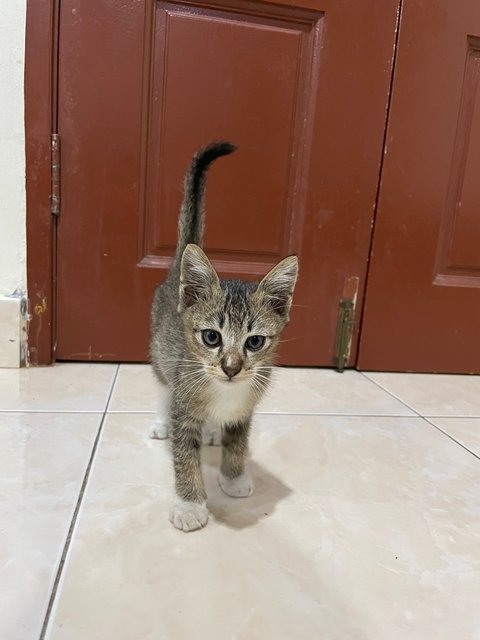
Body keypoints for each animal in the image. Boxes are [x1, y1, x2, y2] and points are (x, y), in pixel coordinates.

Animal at [152, 142, 298, 532]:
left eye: (255, 342)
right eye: (211, 337)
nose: (232, 368)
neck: (224, 393)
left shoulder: (246, 408)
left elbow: (238, 441)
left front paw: (233, 476)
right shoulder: (184, 403)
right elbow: (184, 457)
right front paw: (190, 505)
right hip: (159, 354)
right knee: (163, 386)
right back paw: (162, 422)